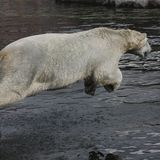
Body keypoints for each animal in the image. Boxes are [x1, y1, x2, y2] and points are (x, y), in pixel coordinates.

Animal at [0, 27, 151, 106]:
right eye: (147, 41)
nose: (149, 51)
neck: (116, 37)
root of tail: (4, 53)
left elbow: (92, 75)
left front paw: (90, 89)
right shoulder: (107, 53)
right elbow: (106, 72)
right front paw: (112, 86)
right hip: (25, 66)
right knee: (13, 89)